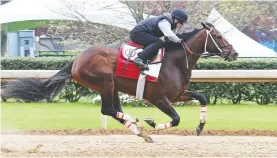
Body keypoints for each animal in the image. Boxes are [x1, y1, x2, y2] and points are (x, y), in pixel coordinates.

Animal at [2, 21, 237, 142]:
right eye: (218, 36)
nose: (234, 53)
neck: (175, 60)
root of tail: (77, 59)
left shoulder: (177, 94)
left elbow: (202, 97)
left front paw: (199, 127)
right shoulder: (158, 97)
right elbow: (177, 118)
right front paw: (152, 122)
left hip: (111, 86)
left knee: (114, 109)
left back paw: (139, 130)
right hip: (105, 81)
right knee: (108, 109)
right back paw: (140, 127)